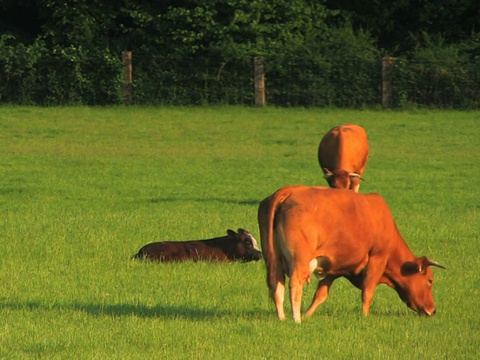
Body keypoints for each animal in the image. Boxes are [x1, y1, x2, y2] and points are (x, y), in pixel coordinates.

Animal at [258, 186, 446, 324]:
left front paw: (308, 314)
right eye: (430, 280)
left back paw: (282, 317)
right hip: (300, 261)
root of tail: (288, 191)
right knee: (295, 285)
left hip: (273, 259)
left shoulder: (334, 267)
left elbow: (321, 294)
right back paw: (296, 319)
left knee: (276, 285)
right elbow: (368, 291)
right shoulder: (377, 258)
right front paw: (364, 316)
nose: (433, 310)